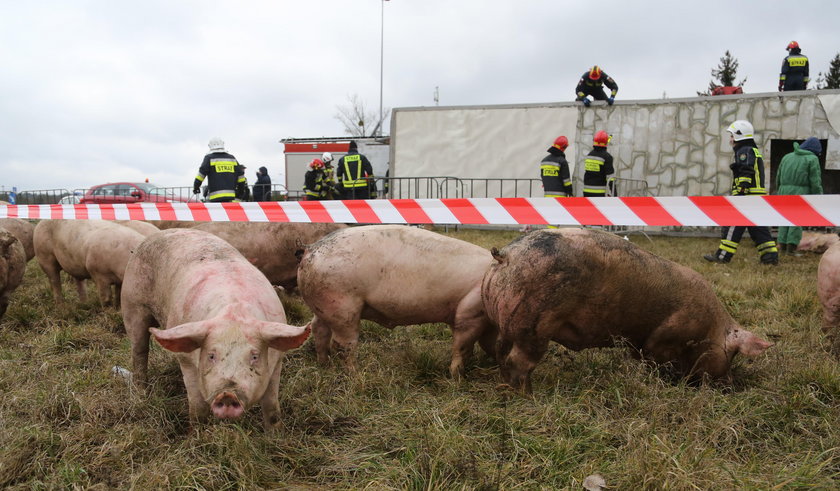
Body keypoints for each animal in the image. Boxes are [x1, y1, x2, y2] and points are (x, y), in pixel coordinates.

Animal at [121, 229, 308, 428]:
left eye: (255, 356)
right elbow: (198, 409)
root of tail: (157, 234)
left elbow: (272, 409)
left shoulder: (277, 359)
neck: (234, 311)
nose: (227, 394)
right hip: (132, 304)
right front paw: (197, 432)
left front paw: (275, 433)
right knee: (139, 351)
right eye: (211, 356)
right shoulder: (186, 360)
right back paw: (141, 393)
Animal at [296, 225, 496, 378]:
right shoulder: (470, 311)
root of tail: (310, 248)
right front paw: (456, 377)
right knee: (342, 344)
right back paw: (355, 374)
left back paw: (324, 365)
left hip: (323, 306)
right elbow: (462, 346)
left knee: (319, 330)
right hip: (342, 307)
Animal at [480, 227, 776, 392]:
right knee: (518, 361)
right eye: (733, 354)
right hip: (534, 324)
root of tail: (506, 256)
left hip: (507, 322)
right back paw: (528, 394)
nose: (730, 385)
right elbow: (656, 359)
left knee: (501, 352)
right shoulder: (666, 337)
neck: (710, 327)